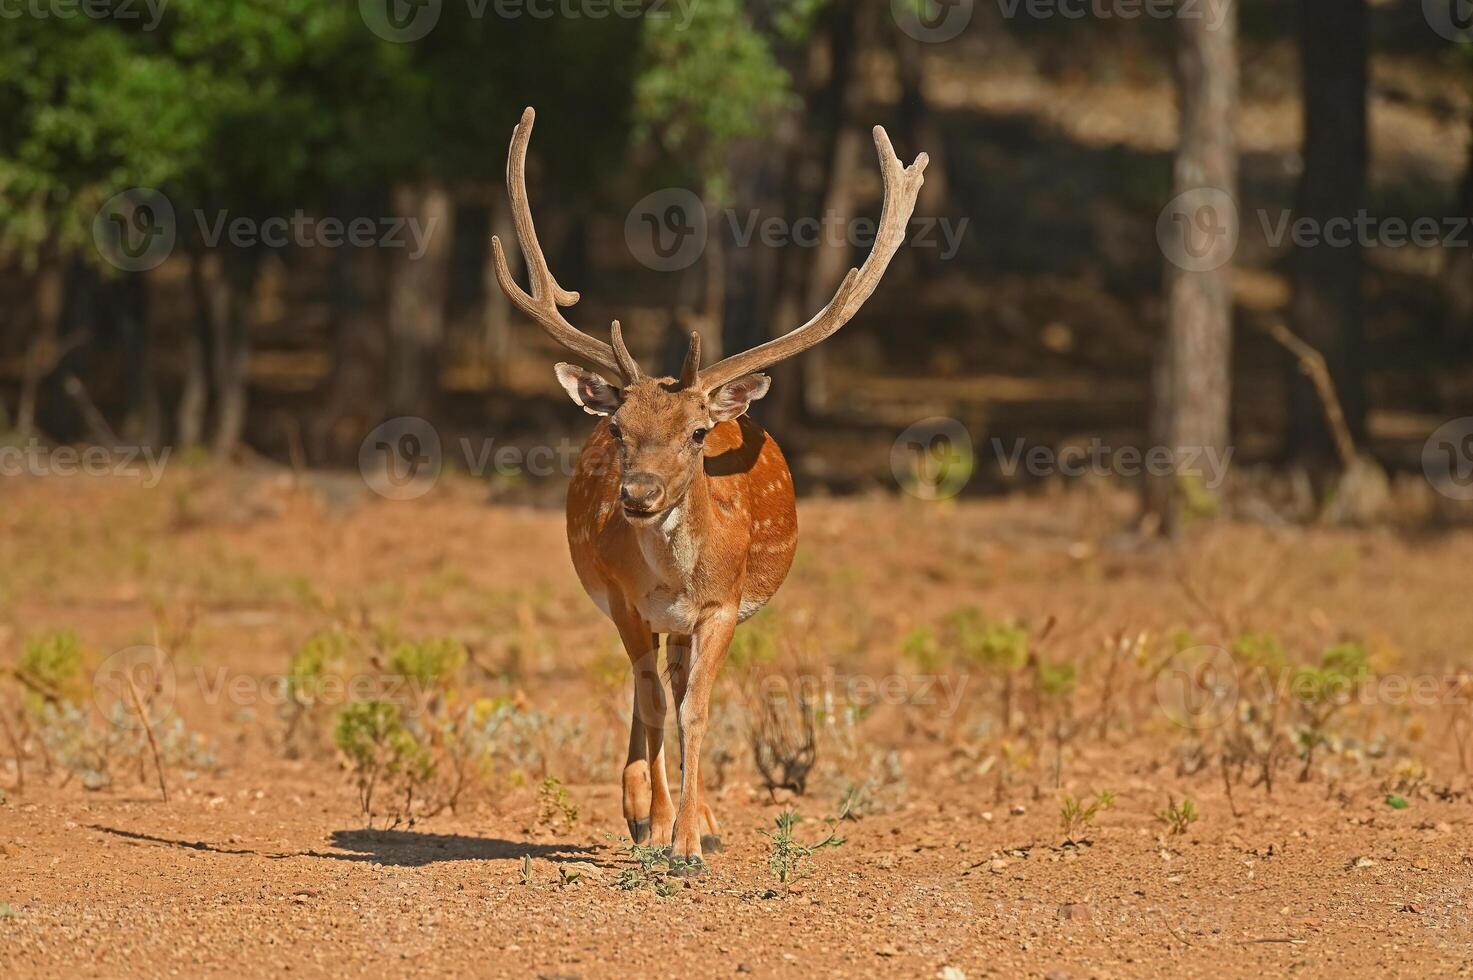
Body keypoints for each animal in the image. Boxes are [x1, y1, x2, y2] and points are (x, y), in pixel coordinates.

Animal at [494, 105, 930, 872]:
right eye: (617, 428)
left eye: (698, 433)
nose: (637, 494)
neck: (674, 575)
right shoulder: (625, 600)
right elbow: (651, 703)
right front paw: (657, 822)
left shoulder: (723, 606)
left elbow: (694, 707)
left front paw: (692, 842)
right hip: (629, 608)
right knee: (649, 687)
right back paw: (643, 810)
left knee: (675, 685)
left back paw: (695, 818)